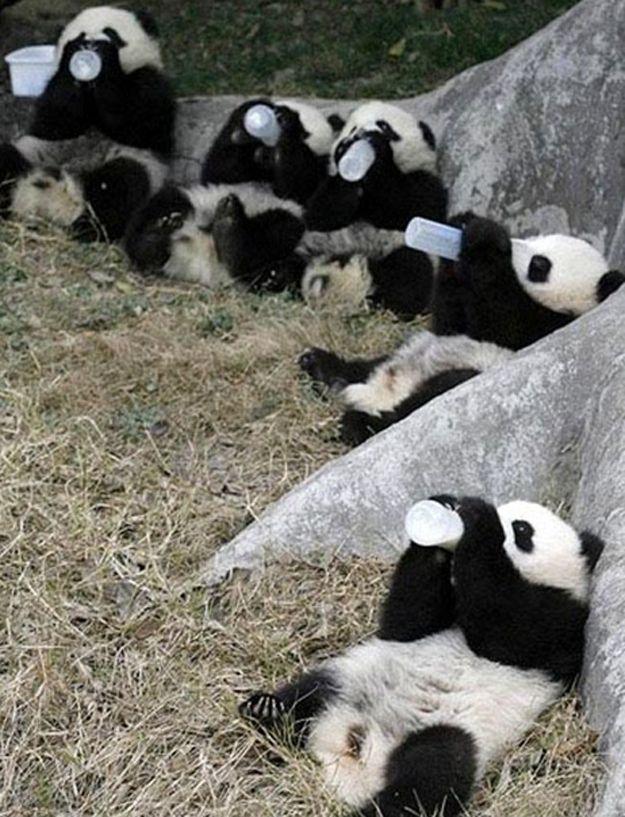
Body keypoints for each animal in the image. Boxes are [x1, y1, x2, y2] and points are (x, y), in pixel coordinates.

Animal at [0, 6, 175, 241]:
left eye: (111, 33)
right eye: (80, 36)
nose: (89, 45)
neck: (91, 89)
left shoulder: (150, 83)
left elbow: (136, 123)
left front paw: (104, 60)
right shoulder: (51, 96)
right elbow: (55, 120)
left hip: (139, 162)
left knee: (120, 184)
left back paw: (87, 227)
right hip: (33, 152)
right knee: (7, 160)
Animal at [240, 494, 604, 817]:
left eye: (522, 529)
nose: (460, 511)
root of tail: (352, 754)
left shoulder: (562, 624)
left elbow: (506, 628)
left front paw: (478, 520)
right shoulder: (430, 618)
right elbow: (407, 621)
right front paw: (439, 519)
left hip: (454, 730)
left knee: (433, 772)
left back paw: (379, 809)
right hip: (352, 679)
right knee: (311, 693)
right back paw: (267, 711)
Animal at [432, 213, 625, 350]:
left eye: (538, 266)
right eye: (535, 238)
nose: (510, 244)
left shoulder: (541, 328)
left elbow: (497, 323)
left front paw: (484, 236)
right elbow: (450, 324)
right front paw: (461, 220)